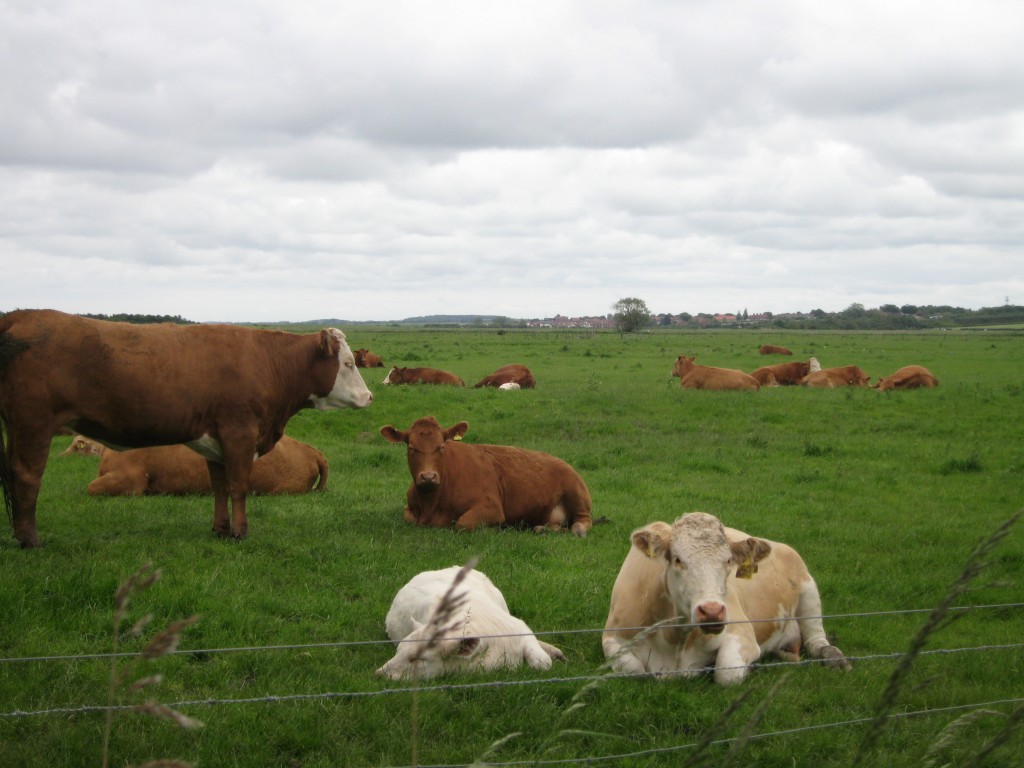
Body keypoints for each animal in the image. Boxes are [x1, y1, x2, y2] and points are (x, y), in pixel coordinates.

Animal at [0, 307, 368, 548]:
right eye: (349, 363)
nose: (369, 396)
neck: (268, 362)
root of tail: (22, 315)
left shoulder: (215, 441)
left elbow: (220, 487)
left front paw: (221, 529)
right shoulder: (239, 432)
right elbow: (238, 486)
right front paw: (240, 533)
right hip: (33, 424)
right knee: (27, 477)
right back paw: (30, 540)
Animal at [378, 417, 593, 536]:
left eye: (441, 446)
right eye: (411, 448)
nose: (429, 476)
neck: (431, 504)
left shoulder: (491, 507)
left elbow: (462, 524)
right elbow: (408, 518)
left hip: (575, 492)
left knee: (583, 521)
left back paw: (577, 530)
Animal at [602, 514, 851, 688]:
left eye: (729, 561)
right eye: (677, 559)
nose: (712, 611)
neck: (674, 642)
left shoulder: (742, 633)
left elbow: (727, 672)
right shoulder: (611, 637)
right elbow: (634, 670)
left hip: (808, 589)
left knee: (817, 640)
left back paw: (834, 658)